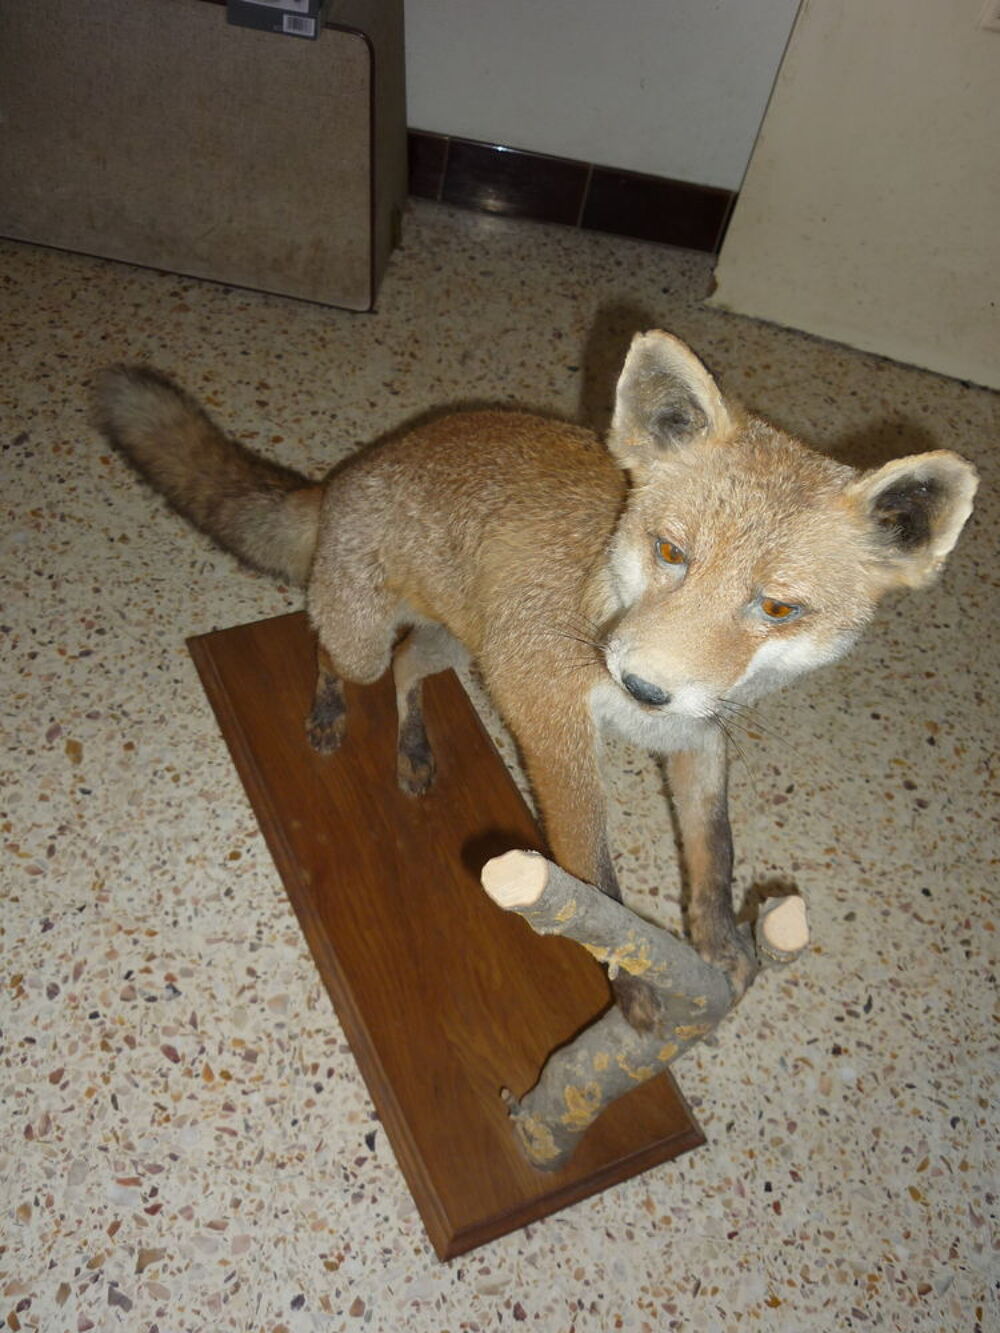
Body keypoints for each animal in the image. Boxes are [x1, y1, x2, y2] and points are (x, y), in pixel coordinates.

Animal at [96, 330, 978, 1023]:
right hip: (366, 639)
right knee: (333, 654)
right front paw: (632, 982)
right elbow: (596, 876)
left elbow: (716, 850)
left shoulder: (692, 733)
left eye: (778, 607)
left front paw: (721, 940)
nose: (642, 686)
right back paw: (328, 714)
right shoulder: (549, 710)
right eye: (671, 551)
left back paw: (413, 750)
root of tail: (346, 474)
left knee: (411, 669)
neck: (600, 593)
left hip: (462, 646)